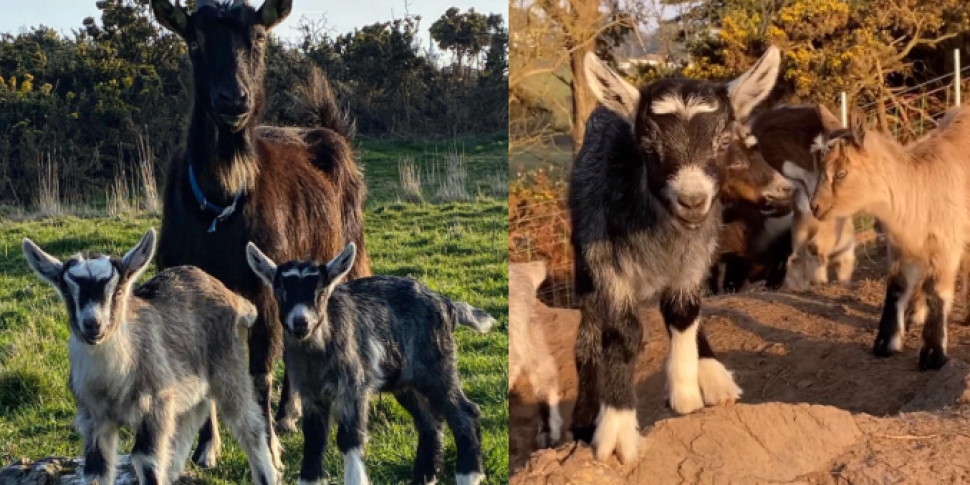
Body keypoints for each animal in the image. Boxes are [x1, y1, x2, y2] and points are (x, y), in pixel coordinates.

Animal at [804, 105, 968, 370]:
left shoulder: (945, 243)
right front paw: (885, 344)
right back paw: (916, 314)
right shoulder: (901, 246)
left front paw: (933, 354)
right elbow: (896, 288)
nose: (815, 206)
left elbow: (936, 291)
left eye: (840, 173)